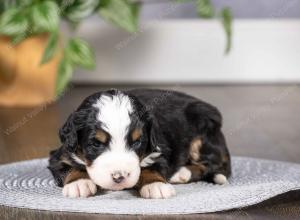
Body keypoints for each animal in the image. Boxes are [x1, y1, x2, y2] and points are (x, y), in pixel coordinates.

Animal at [48, 88, 232, 199]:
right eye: (96, 143)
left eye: (137, 142)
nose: (119, 177)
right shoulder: (61, 154)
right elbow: (71, 167)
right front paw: (79, 183)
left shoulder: (159, 149)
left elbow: (152, 167)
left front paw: (156, 185)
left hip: (202, 134)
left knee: (213, 164)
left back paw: (182, 173)